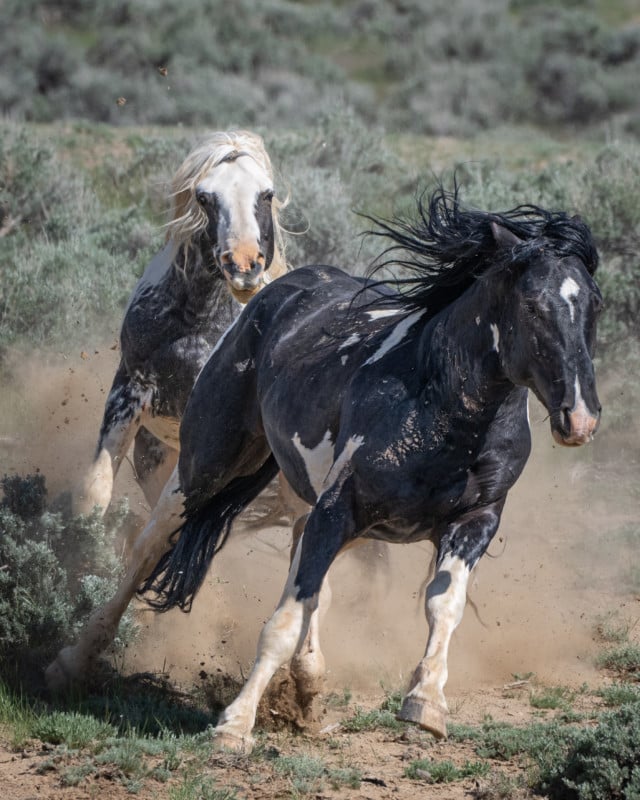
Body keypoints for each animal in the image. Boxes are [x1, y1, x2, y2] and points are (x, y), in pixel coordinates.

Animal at [48, 189, 600, 756]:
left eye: (593, 305)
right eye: (532, 305)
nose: (579, 418)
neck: (445, 407)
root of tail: (272, 294)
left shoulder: (474, 521)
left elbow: (442, 606)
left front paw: (426, 703)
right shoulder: (338, 509)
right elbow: (286, 618)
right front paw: (234, 725)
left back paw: (307, 690)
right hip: (206, 464)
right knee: (151, 543)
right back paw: (73, 661)